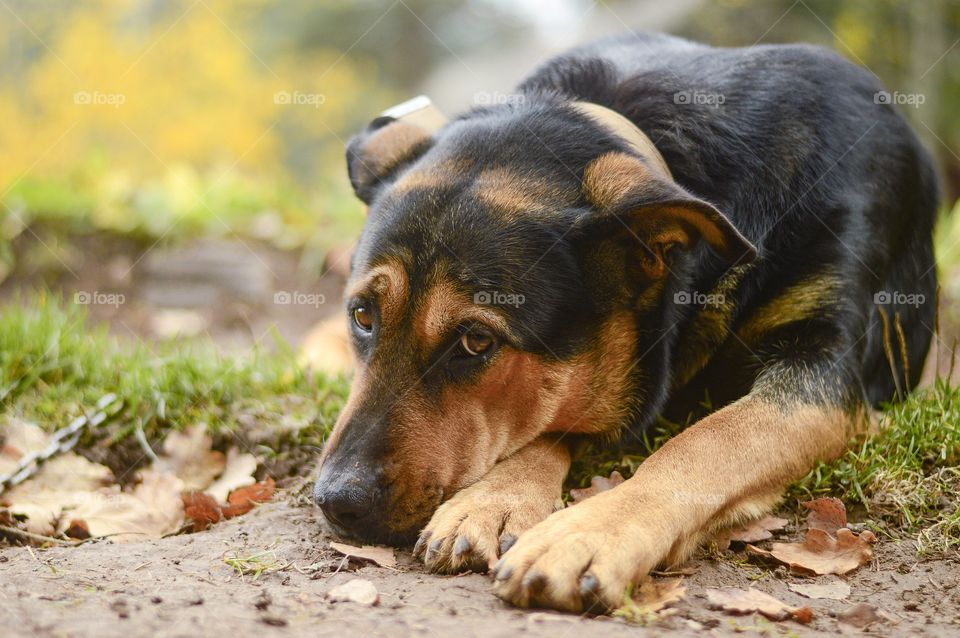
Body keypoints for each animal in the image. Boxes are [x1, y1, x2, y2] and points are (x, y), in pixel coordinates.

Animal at [314, 32, 936, 612]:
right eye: (363, 316)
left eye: (476, 341)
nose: (336, 501)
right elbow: (550, 422)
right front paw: (495, 499)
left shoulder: (827, 374)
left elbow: (711, 439)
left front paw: (588, 531)